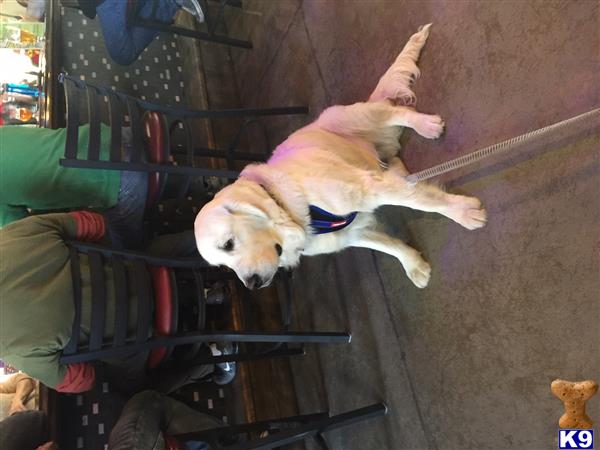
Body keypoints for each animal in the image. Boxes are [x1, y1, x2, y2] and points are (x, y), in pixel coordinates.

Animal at [195, 24, 486, 290]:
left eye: (228, 244)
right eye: (222, 265)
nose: (252, 284)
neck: (291, 208)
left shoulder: (367, 189)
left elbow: (423, 203)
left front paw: (462, 212)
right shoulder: (351, 231)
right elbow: (388, 245)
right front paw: (413, 265)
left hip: (355, 117)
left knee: (397, 111)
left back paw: (426, 125)